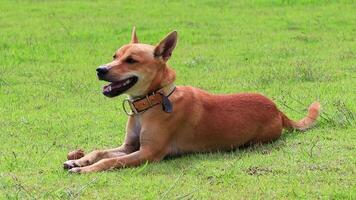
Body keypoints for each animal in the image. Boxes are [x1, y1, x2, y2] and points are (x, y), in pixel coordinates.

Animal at [62, 27, 322, 173]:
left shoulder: (148, 153)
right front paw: (80, 160)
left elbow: (110, 162)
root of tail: (276, 109)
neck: (152, 101)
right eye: (115, 55)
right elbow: (100, 152)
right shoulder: (130, 146)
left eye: (131, 60)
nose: (100, 70)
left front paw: (86, 169)